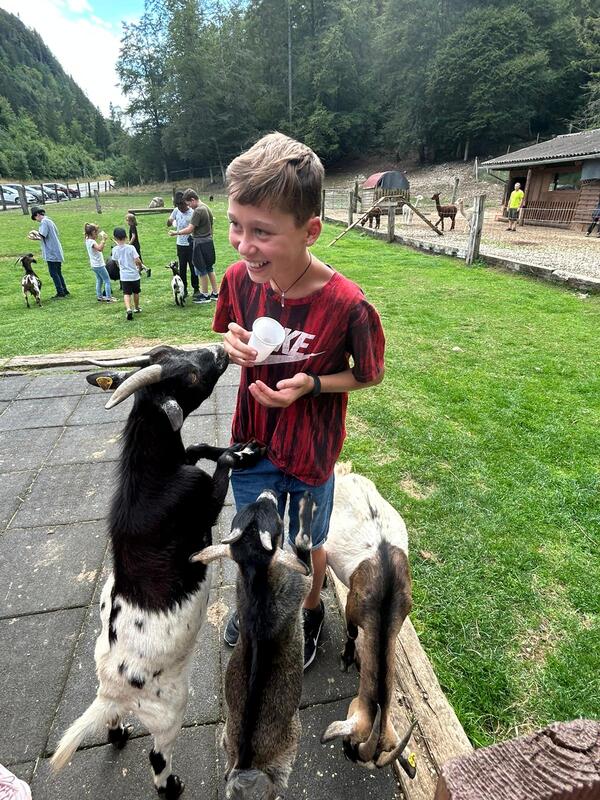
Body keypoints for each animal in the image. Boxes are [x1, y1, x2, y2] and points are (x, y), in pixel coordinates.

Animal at [51, 343, 264, 799]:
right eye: (189, 377)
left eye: (174, 353)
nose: (219, 350)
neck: (152, 479)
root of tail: (113, 691)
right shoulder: (201, 502)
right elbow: (218, 467)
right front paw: (245, 451)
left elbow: (196, 445)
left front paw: (239, 444)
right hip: (170, 711)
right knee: (157, 756)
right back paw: (173, 786)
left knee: (112, 726)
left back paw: (117, 734)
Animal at [193, 490, 314, 800]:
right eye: (276, 519)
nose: (268, 493)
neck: (255, 579)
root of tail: (245, 759)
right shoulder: (297, 585)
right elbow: (305, 566)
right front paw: (303, 526)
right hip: (289, 743)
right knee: (277, 780)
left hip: (228, 738)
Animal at [321, 463, 416, 776]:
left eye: (349, 745)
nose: (346, 754)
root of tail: (345, 473)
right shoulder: (353, 606)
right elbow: (351, 633)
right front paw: (347, 659)